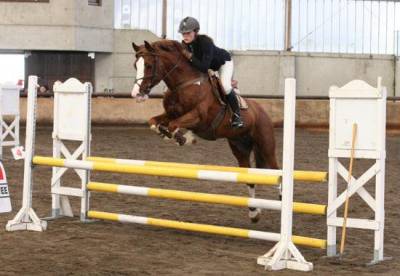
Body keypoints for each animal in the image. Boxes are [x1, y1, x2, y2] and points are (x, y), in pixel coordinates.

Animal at [131, 40, 278, 223]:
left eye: (149, 65)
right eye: (135, 65)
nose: (137, 94)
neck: (184, 83)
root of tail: (262, 111)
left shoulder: (198, 117)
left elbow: (173, 125)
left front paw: (182, 138)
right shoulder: (170, 114)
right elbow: (155, 122)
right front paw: (176, 136)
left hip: (266, 147)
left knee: (277, 172)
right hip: (240, 148)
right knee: (249, 178)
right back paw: (253, 213)